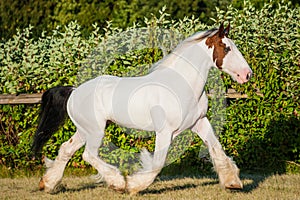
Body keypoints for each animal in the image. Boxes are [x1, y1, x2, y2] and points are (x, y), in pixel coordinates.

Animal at [32, 23, 253, 194]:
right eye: (226, 48)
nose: (247, 74)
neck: (183, 85)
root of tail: (74, 91)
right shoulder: (165, 131)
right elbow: (157, 163)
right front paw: (133, 186)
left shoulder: (199, 123)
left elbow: (217, 150)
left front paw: (233, 183)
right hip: (95, 130)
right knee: (89, 155)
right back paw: (117, 183)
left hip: (84, 130)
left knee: (66, 149)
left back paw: (48, 184)